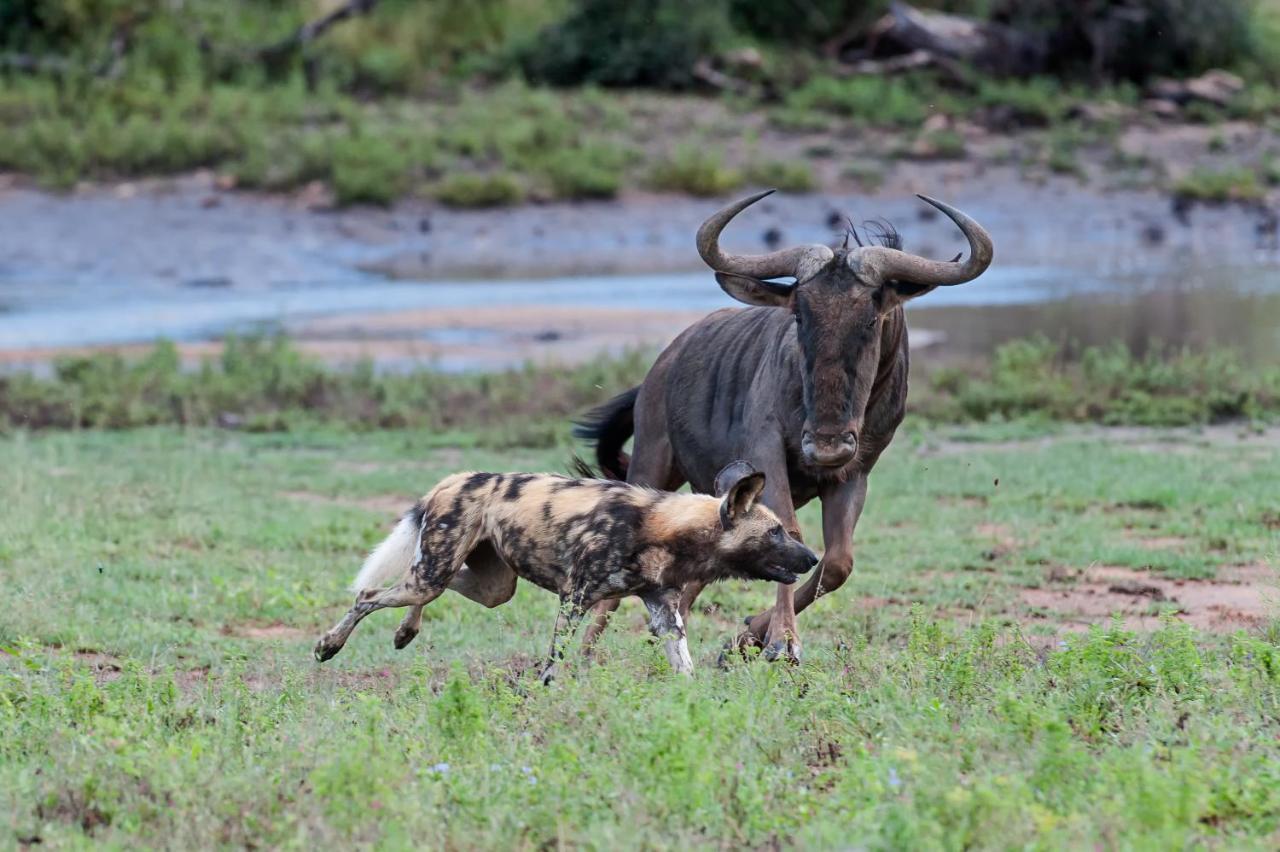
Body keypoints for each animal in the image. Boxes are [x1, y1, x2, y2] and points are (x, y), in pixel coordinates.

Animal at [311, 457, 814, 675]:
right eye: (776, 533)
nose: (810, 558)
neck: (665, 528)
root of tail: (454, 479)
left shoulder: (663, 612)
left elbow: (684, 666)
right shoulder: (575, 599)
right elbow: (556, 658)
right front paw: (542, 689)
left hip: (488, 586)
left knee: (440, 586)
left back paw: (405, 631)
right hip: (431, 574)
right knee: (368, 595)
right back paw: (328, 646)